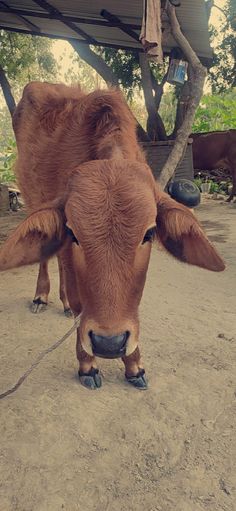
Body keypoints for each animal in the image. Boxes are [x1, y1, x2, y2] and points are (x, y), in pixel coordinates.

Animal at [0, 82, 225, 390]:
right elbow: (81, 303)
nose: (108, 344)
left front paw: (134, 365)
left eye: (149, 234)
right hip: (31, 196)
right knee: (47, 258)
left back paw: (63, 303)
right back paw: (41, 297)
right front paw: (87, 364)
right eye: (74, 233)